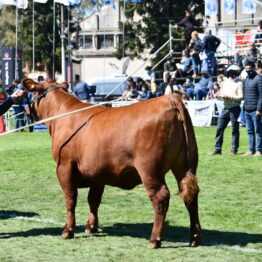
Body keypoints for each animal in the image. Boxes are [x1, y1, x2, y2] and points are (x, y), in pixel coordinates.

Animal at [22, 77, 201, 248]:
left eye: (32, 93)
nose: (25, 110)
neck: (63, 114)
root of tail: (170, 98)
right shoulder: (97, 172)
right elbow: (94, 200)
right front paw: (91, 227)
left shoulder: (64, 166)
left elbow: (70, 198)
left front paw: (68, 230)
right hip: (186, 164)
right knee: (190, 194)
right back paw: (194, 238)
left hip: (149, 169)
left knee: (160, 197)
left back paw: (154, 240)